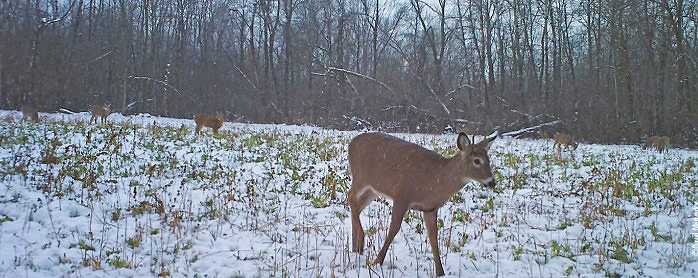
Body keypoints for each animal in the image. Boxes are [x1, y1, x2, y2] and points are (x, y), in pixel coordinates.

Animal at [346, 132, 494, 276]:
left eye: (488, 160)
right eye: (476, 160)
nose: (492, 182)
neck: (433, 181)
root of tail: (352, 142)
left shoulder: (430, 208)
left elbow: (433, 237)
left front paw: (440, 272)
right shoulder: (401, 195)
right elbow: (394, 229)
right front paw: (377, 261)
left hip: (374, 189)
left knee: (357, 204)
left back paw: (356, 247)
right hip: (360, 177)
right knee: (351, 196)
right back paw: (360, 241)